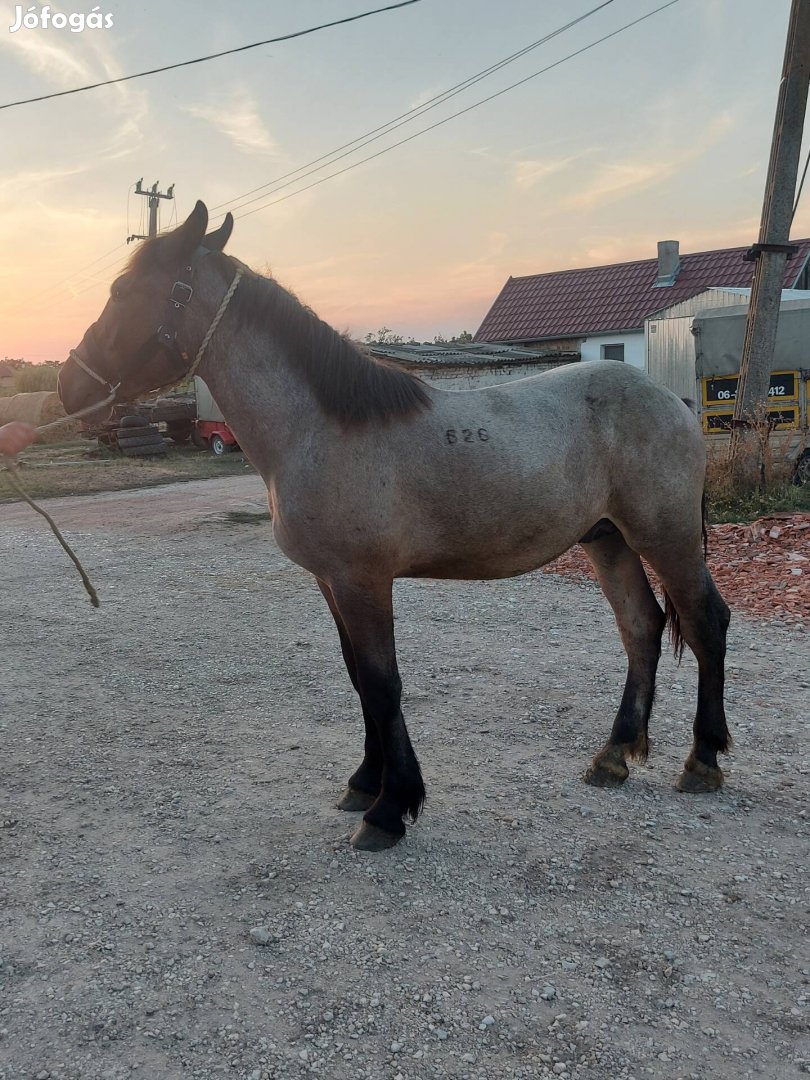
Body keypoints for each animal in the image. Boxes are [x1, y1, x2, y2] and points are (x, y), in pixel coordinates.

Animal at [60, 203, 734, 851]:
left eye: (124, 291)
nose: (69, 386)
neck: (319, 429)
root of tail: (671, 400)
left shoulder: (363, 581)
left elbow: (383, 685)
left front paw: (390, 808)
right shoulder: (332, 582)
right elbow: (358, 678)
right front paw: (366, 782)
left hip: (665, 538)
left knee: (705, 621)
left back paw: (702, 761)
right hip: (608, 540)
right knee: (641, 627)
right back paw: (613, 756)